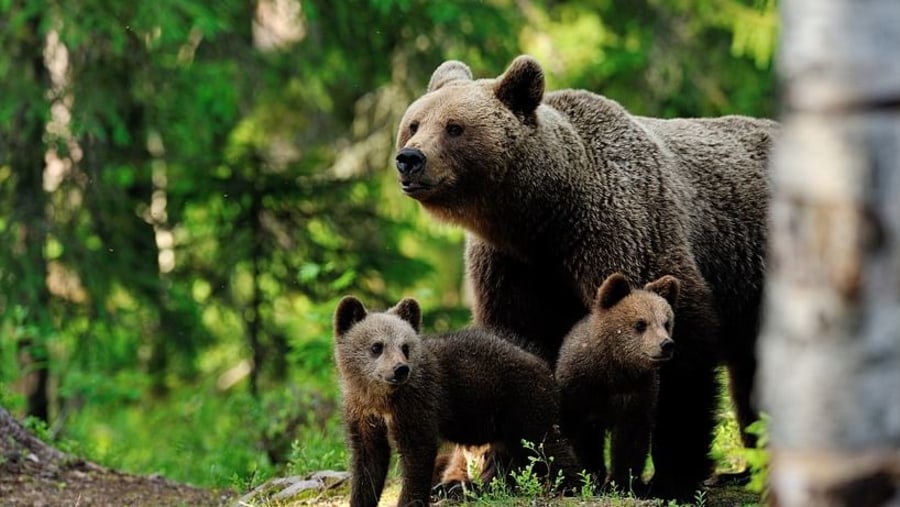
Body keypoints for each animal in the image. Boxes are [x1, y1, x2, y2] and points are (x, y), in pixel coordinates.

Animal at [398, 55, 776, 500]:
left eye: (454, 127)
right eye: (414, 123)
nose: (409, 158)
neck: (541, 219)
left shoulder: (621, 234)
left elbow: (682, 358)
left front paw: (671, 478)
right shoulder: (512, 270)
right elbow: (515, 352)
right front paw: (494, 473)